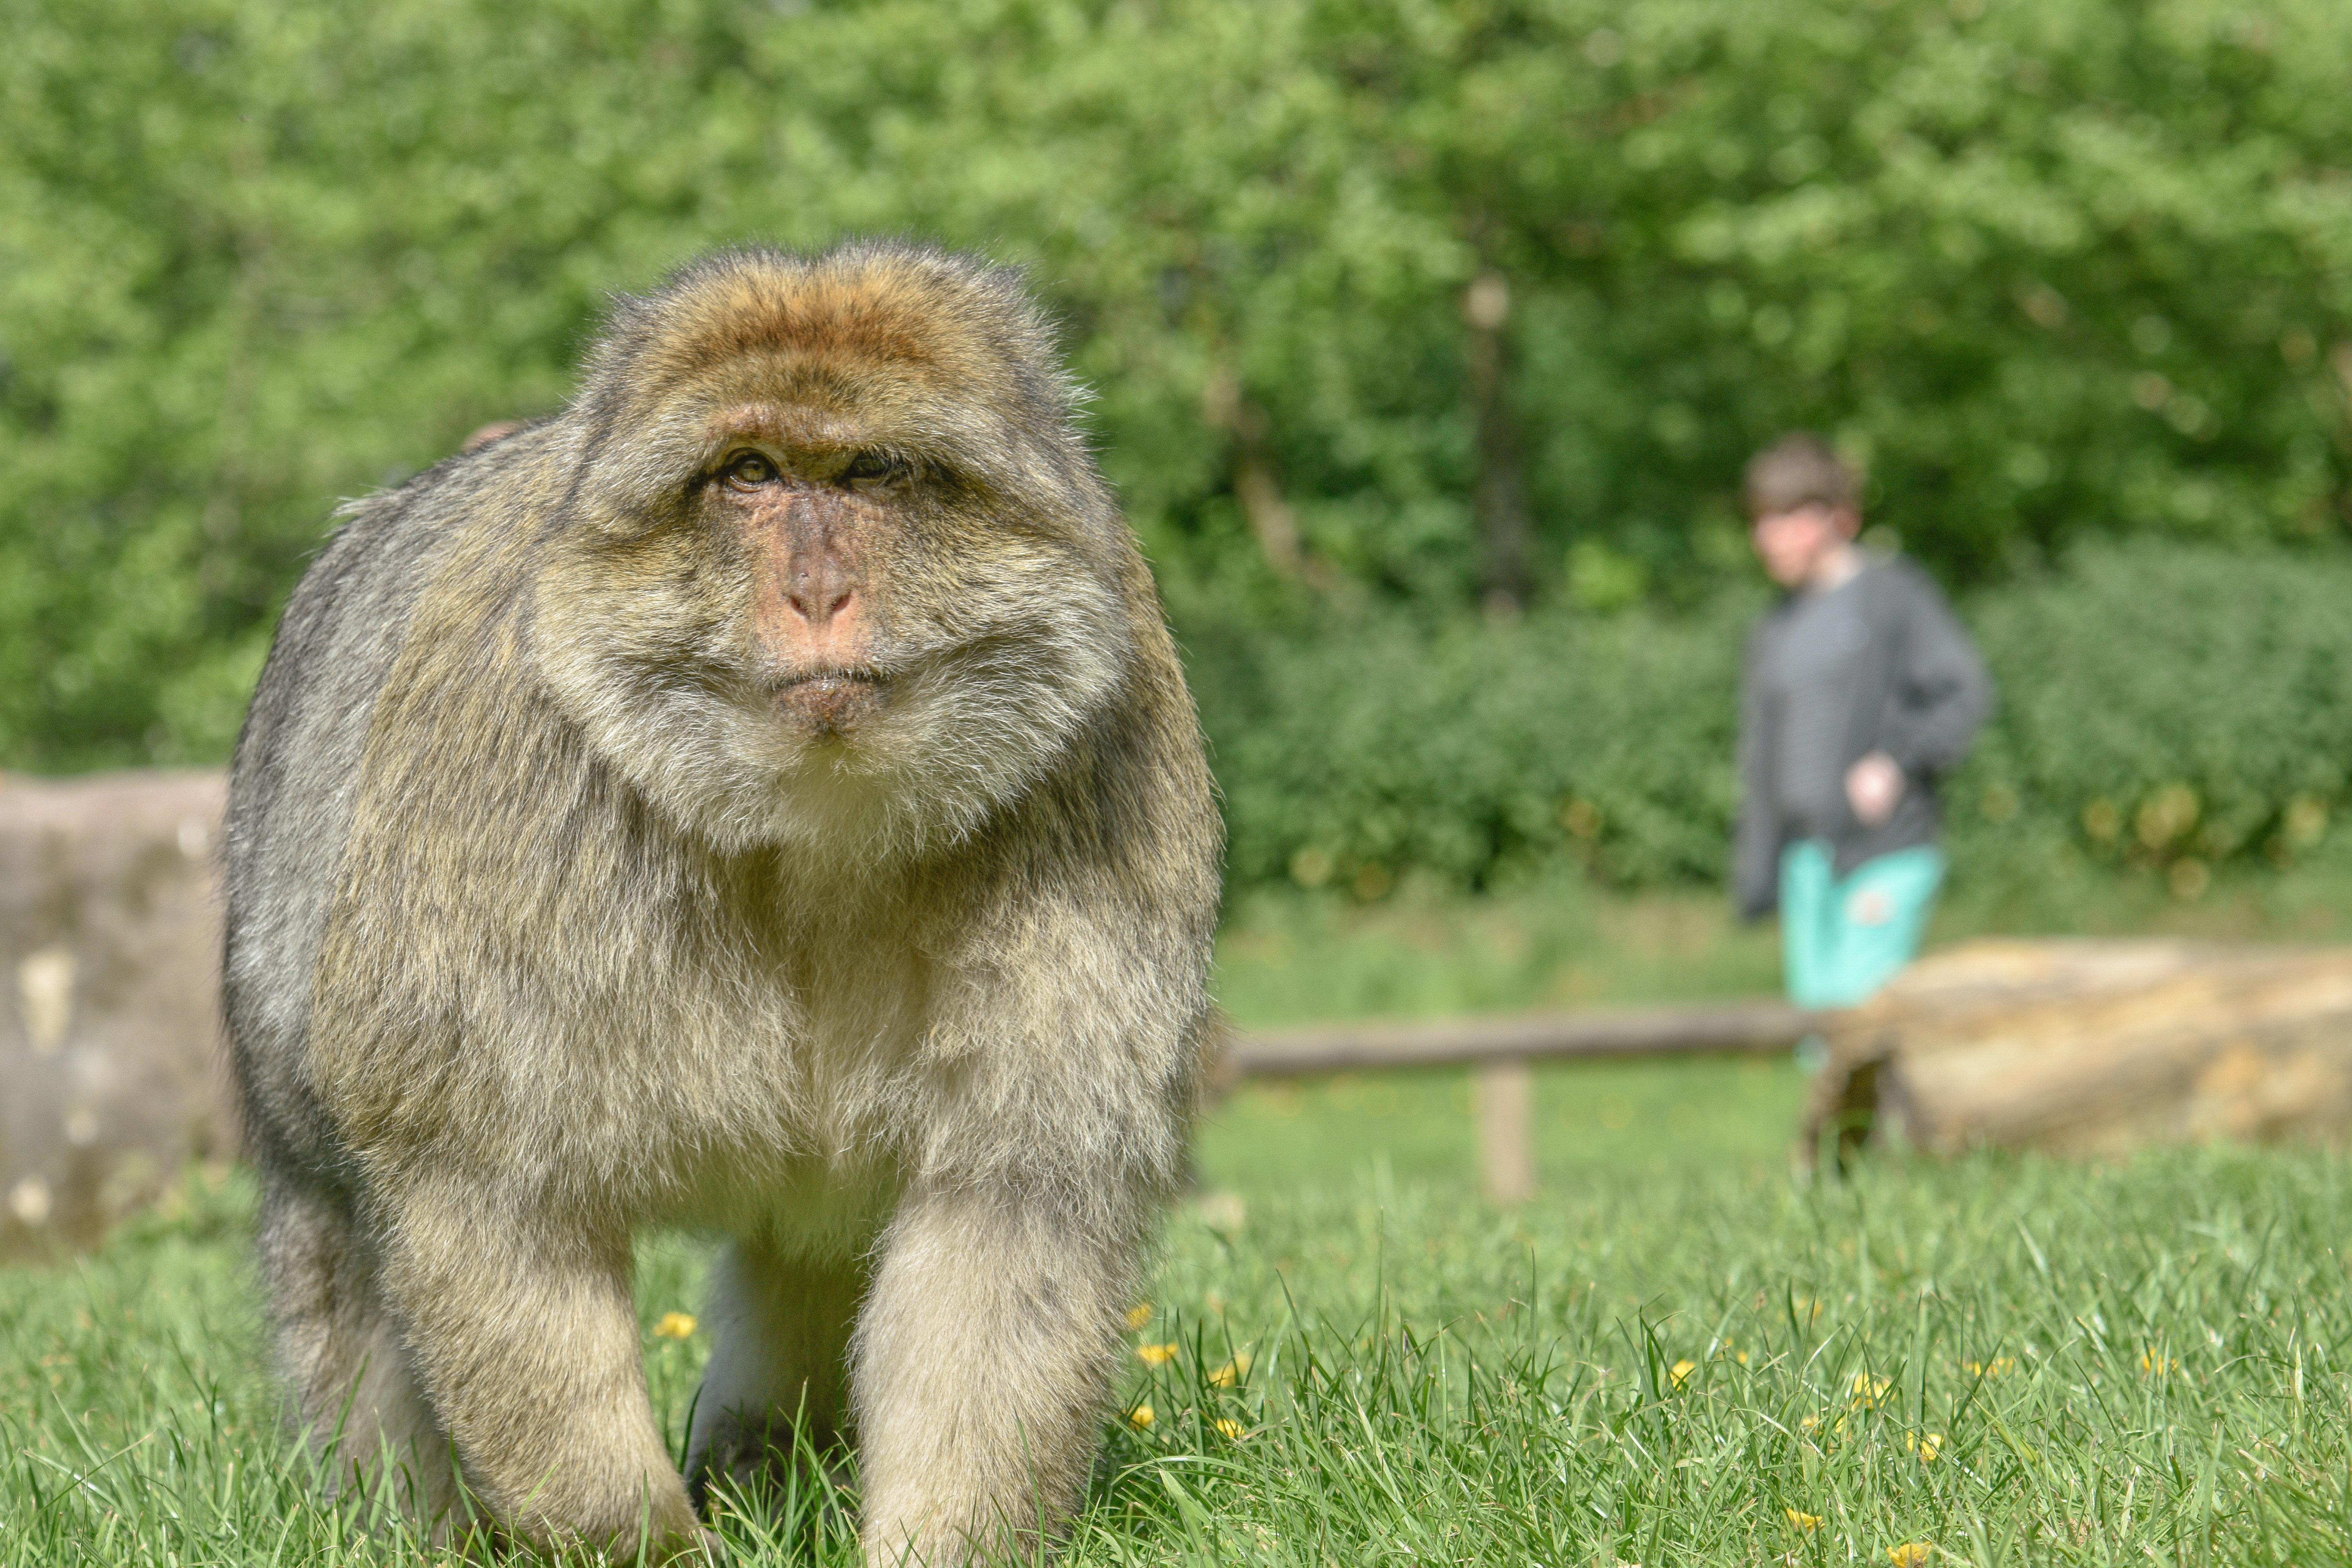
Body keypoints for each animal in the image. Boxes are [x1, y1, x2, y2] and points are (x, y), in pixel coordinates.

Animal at [221, 240, 1223, 1563]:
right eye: (749, 473)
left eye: (871, 471)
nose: (818, 590)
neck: (802, 835)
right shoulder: (502, 810)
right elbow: (492, 1201)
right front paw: (636, 1538)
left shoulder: (1101, 772)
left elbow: (1011, 1210)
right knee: (340, 1251)